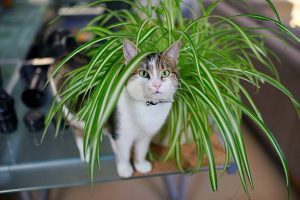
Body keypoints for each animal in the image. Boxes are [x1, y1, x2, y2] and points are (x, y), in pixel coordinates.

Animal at [48, 39, 182, 178]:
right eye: (143, 73)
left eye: (165, 73)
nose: (156, 85)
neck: (148, 108)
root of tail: (61, 58)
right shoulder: (120, 134)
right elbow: (124, 153)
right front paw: (125, 169)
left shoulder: (145, 136)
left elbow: (141, 150)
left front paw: (140, 165)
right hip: (71, 113)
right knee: (79, 133)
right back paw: (87, 155)